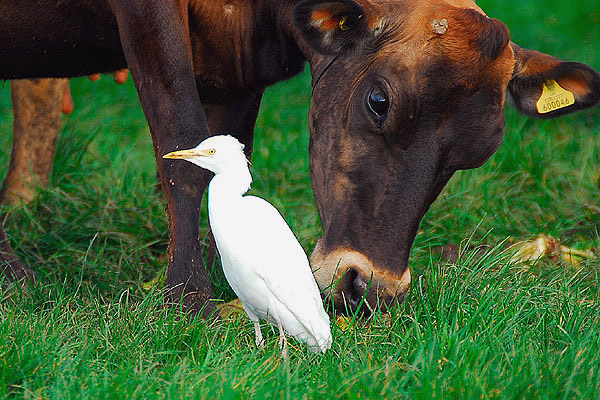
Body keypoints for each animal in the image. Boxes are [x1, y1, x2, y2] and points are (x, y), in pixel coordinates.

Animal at [1, 1, 600, 318]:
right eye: (378, 101)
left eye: (476, 155)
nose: (369, 287)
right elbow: (185, 148)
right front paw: (189, 298)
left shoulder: (237, 63)